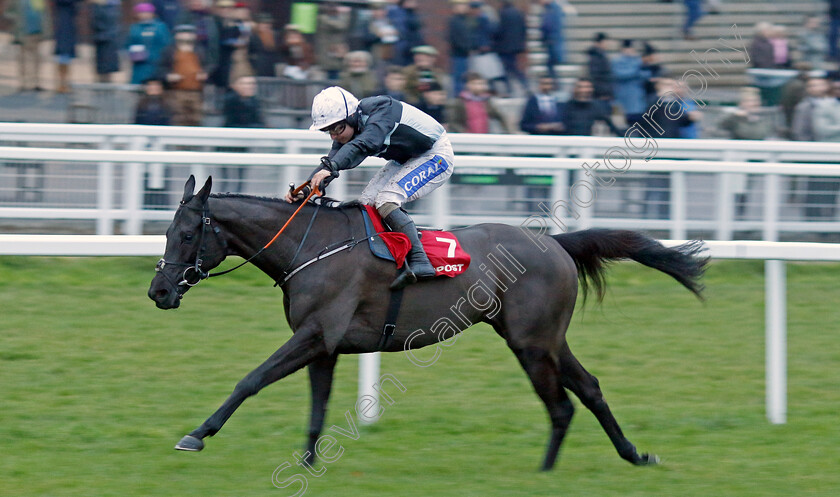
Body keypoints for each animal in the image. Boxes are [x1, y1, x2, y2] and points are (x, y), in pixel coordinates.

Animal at [148, 176, 704, 470]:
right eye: (168, 230)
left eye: (188, 233)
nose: (158, 292)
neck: (312, 248)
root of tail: (556, 243)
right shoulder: (324, 345)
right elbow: (317, 408)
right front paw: (307, 462)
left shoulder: (314, 335)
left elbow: (250, 380)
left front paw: (197, 433)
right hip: (546, 339)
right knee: (587, 390)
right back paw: (629, 455)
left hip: (531, 341)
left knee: (561, 403)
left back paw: (549, 471)